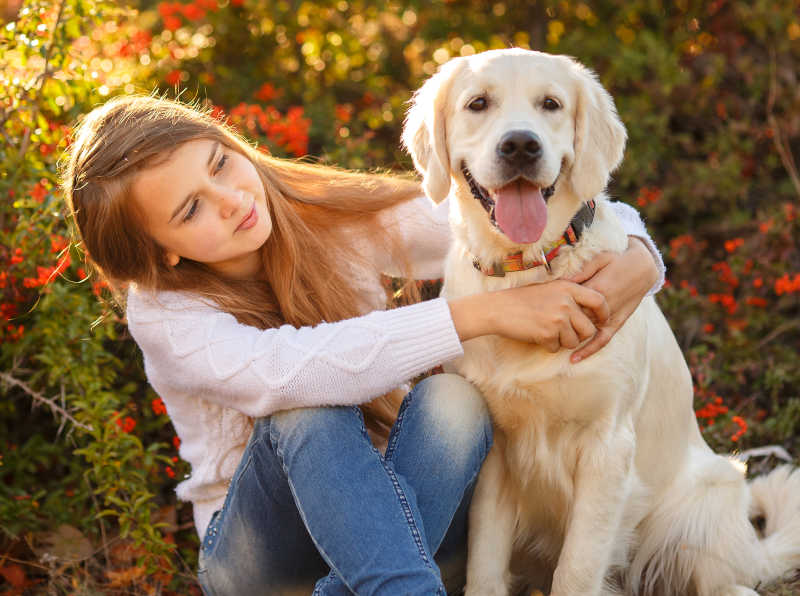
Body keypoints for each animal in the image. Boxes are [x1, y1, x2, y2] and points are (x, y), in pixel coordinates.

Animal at [406, 47, 800, 596]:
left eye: (550, 104)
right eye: (478, 103)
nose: (520, 145)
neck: (531, 270)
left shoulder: (608, 447)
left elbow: (577, 566)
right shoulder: (497, 454)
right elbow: (486, 563)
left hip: (702, 506)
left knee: (726, 581)